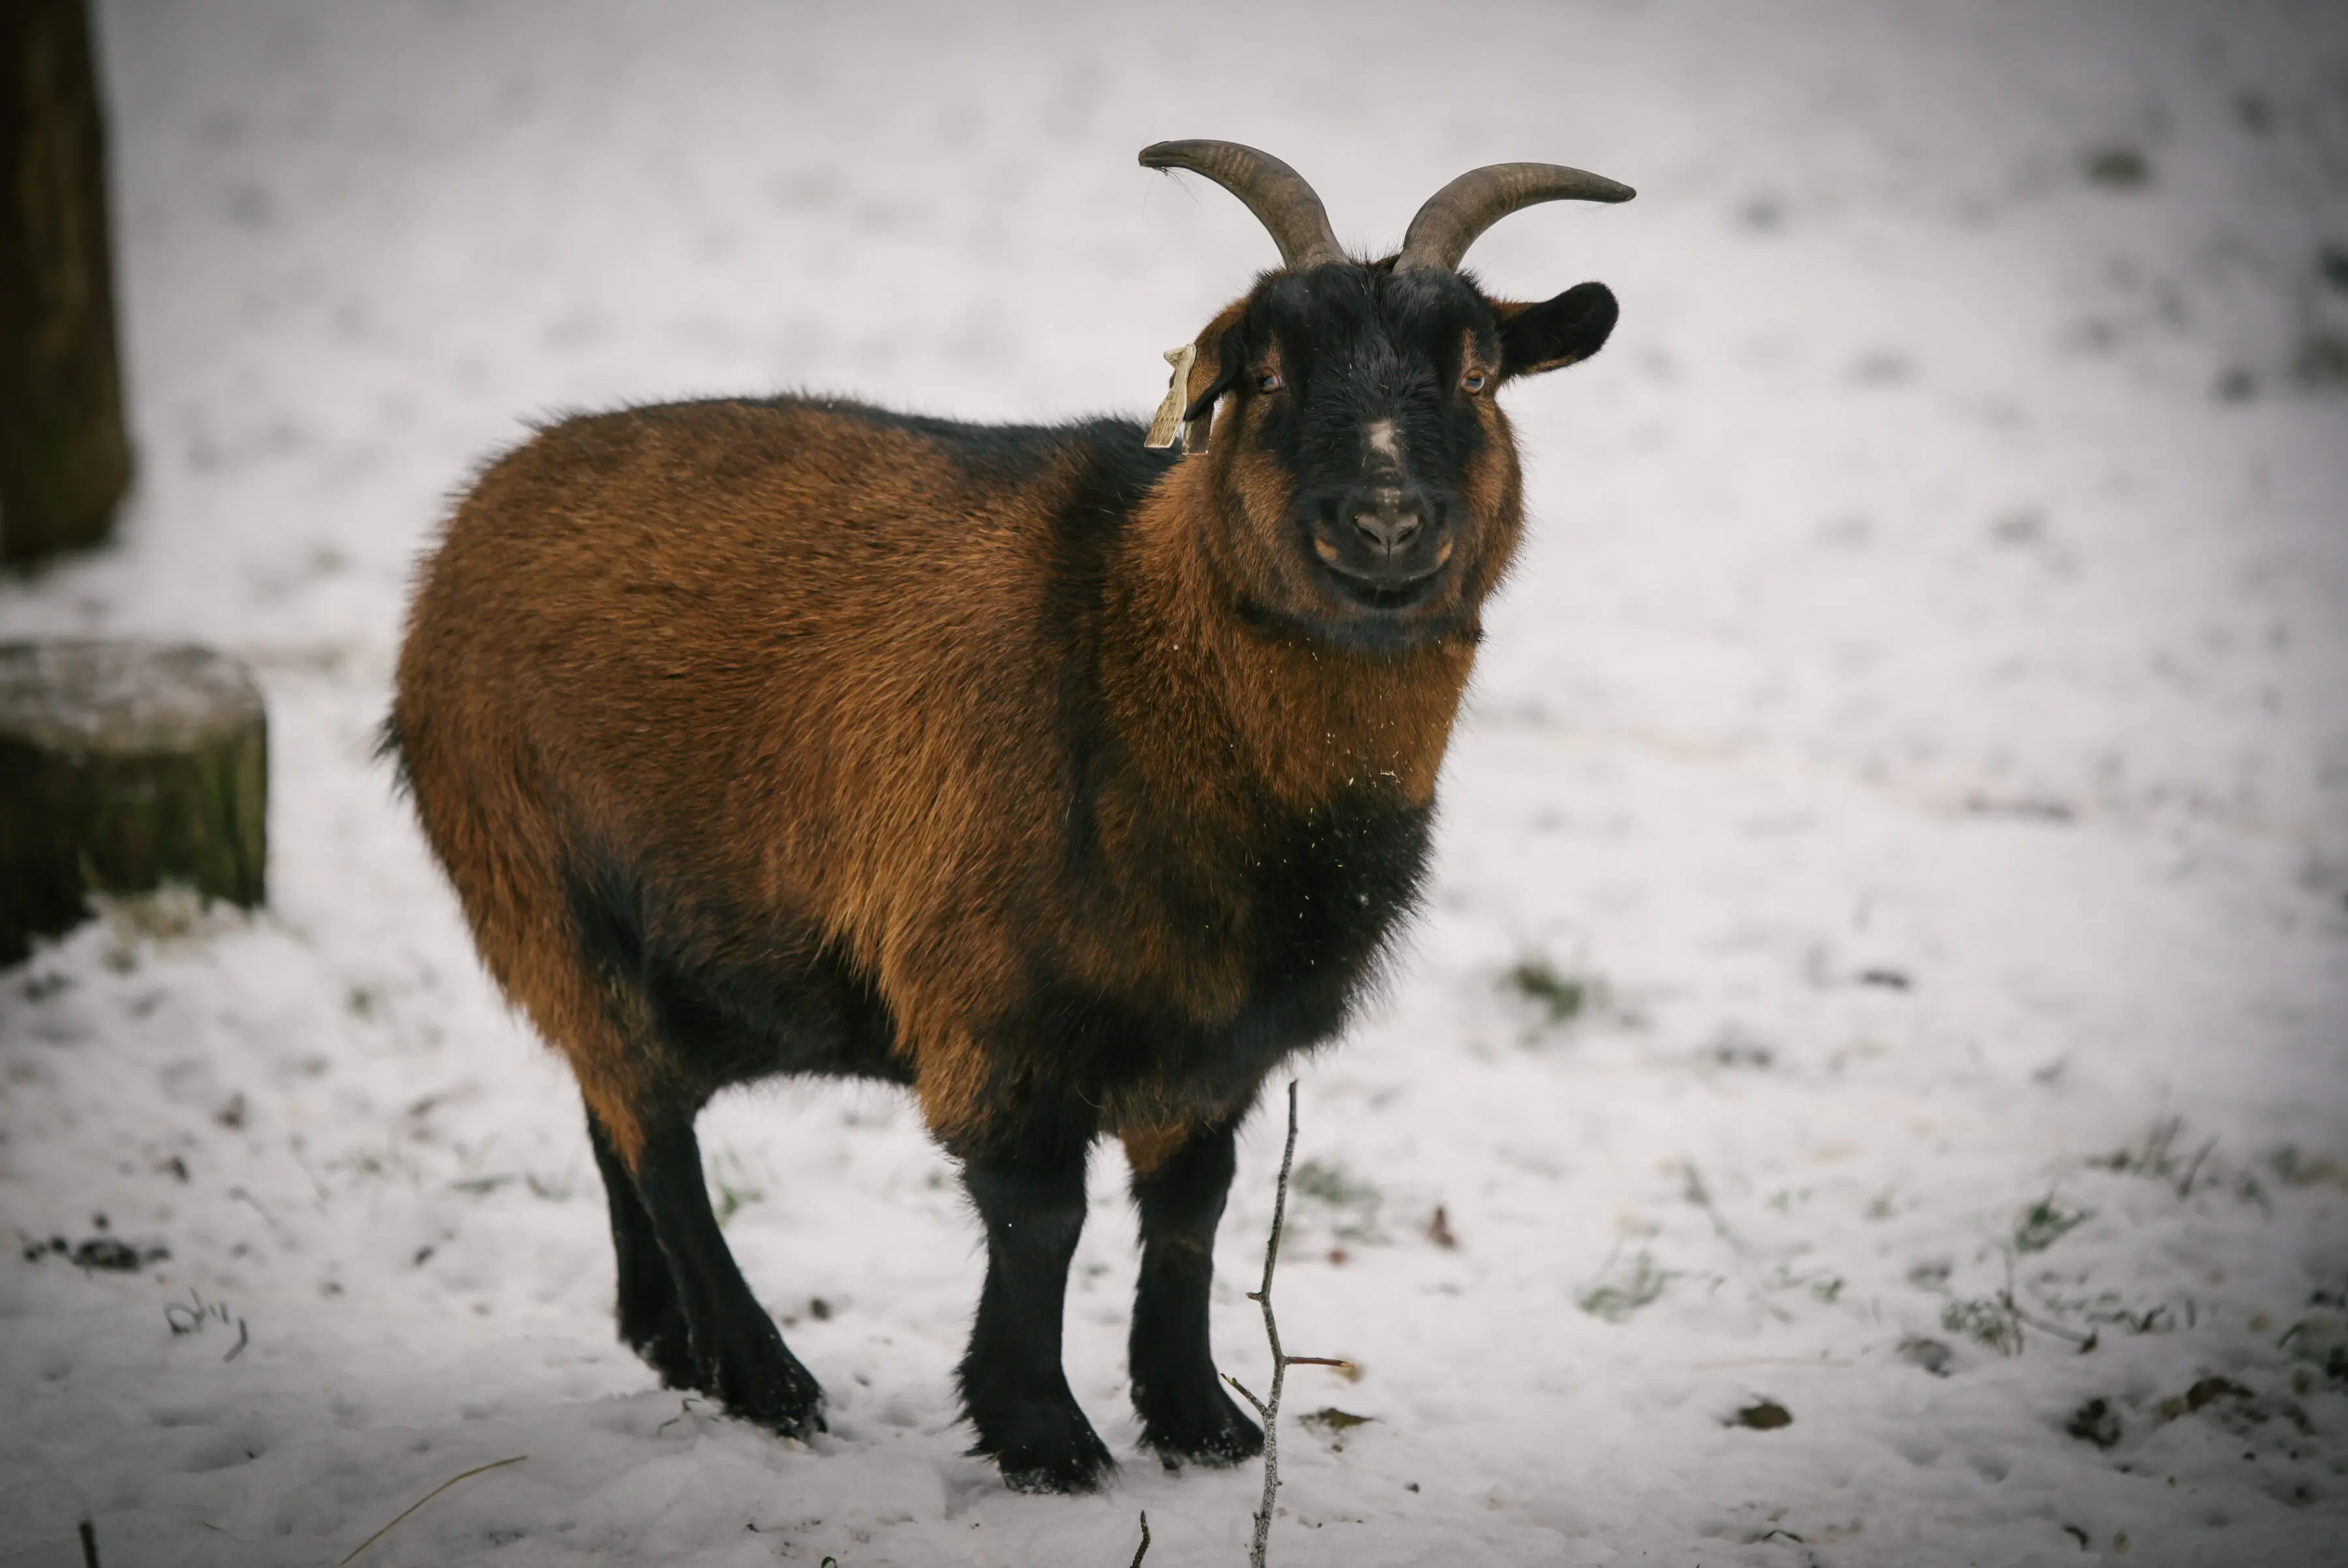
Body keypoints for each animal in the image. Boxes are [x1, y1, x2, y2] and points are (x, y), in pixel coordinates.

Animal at [384, 140, 1629, 1493]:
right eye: (1268, 370)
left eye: (1478, 372)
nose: (1387, 520)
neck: (1138, 663)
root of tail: (470, 518)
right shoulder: (991, 998)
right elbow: (1042, 1218)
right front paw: (1043, 1435)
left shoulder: (1213, 1035)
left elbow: (1193, 1208)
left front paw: (1199, 1420)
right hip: (540, 883)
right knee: (656, 1134)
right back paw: (764, 1376)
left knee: (612, 1106)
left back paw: (669, 1337)